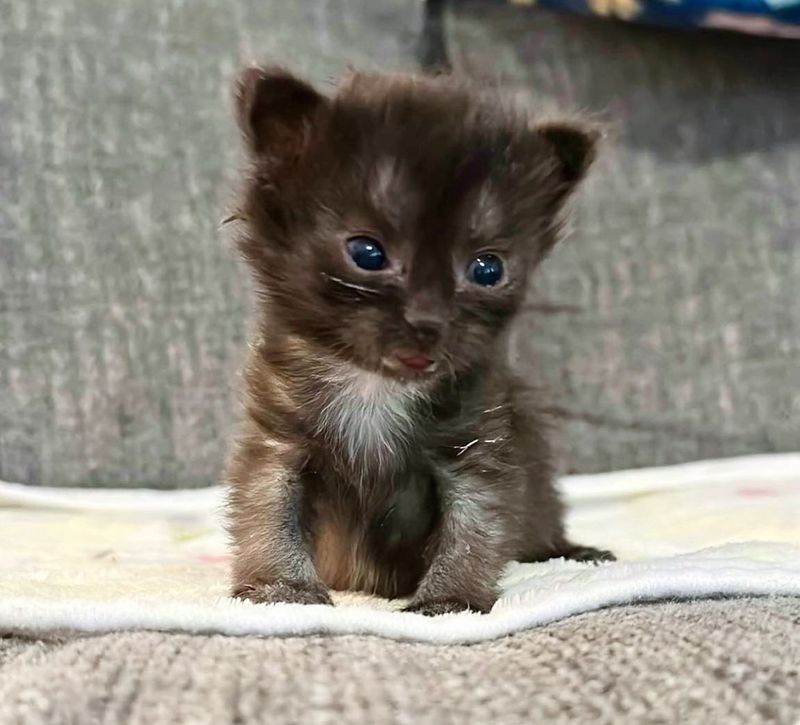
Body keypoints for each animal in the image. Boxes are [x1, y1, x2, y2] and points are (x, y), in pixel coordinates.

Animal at [225, 66, 612, 616]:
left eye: (487, 269)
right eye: (367, 254)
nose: (427, 322)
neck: (373, 386)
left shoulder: (473, 453)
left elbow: (471, 529)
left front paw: (449, 599)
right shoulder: (280, 443)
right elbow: (269, 512)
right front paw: (284, 589)